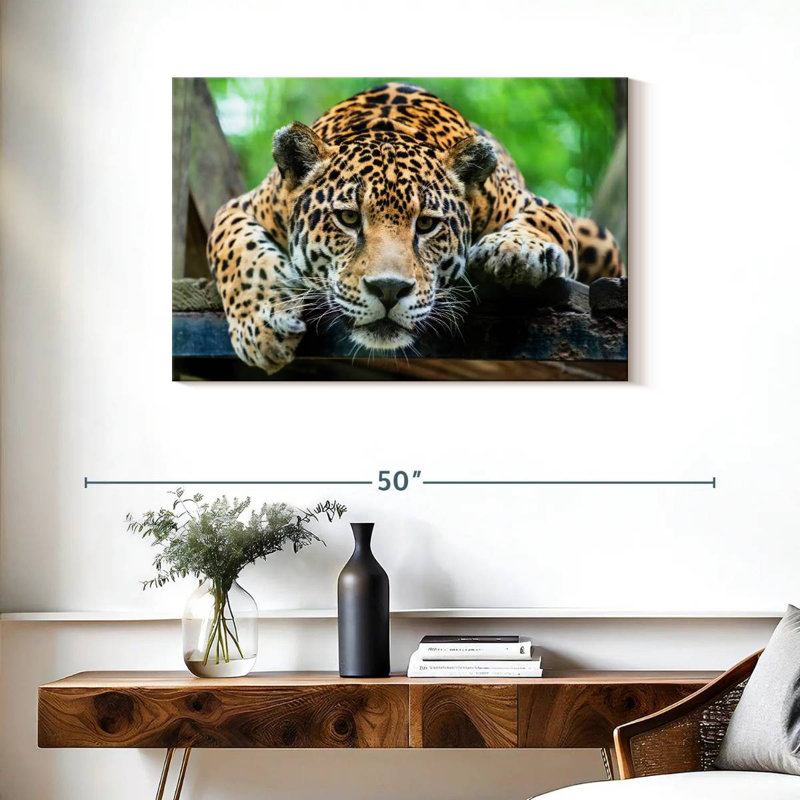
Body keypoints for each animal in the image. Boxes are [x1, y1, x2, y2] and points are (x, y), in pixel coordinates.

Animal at [207, 83, 625, 374]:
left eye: (426, 224)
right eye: (348, 219)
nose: (389, 290)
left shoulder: (534, 204)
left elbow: (543, 222)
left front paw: (514, 250)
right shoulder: (240, 207)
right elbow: (237, 252)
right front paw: (261, 328)